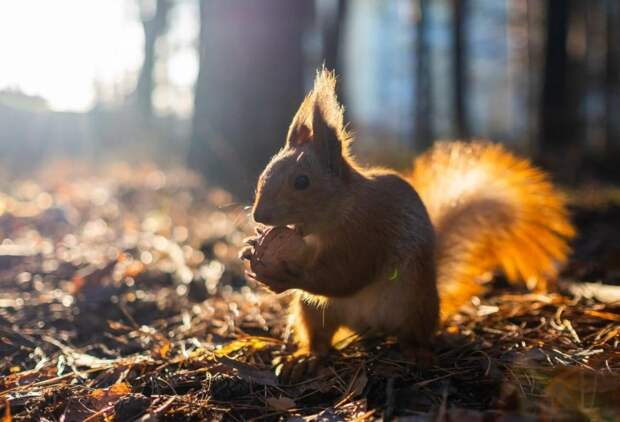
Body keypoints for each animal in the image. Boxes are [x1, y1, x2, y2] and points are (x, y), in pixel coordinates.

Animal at [242, 68, 576, 366]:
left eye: (302, 182)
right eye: (265, 172)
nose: (259, 214)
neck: (336, 215)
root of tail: (368, 326)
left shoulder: (366, 234)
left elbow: (346, 275)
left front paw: (284, 276)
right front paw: (250, 249)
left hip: (413, 301)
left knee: (412, 334)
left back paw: (416, 352)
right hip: (315, 310)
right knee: (319, 334)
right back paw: (306, 357)